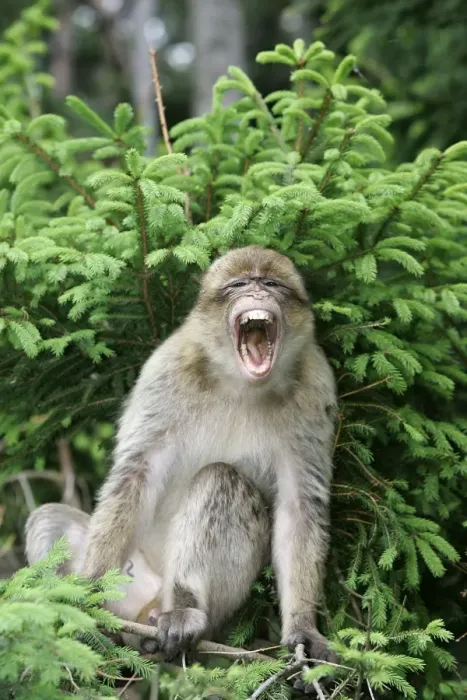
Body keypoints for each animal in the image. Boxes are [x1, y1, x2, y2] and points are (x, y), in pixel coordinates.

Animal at [26, 245, 337, 662]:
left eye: (272, 283)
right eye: (239, 284)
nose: (257, 293)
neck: (240, 384)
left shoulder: (315, 387)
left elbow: (300, 505)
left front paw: (303, 628)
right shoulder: (169, 368)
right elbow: (138, 473)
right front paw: (86, 591)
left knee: (221, 479)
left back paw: (185, 611)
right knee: (48, 518)